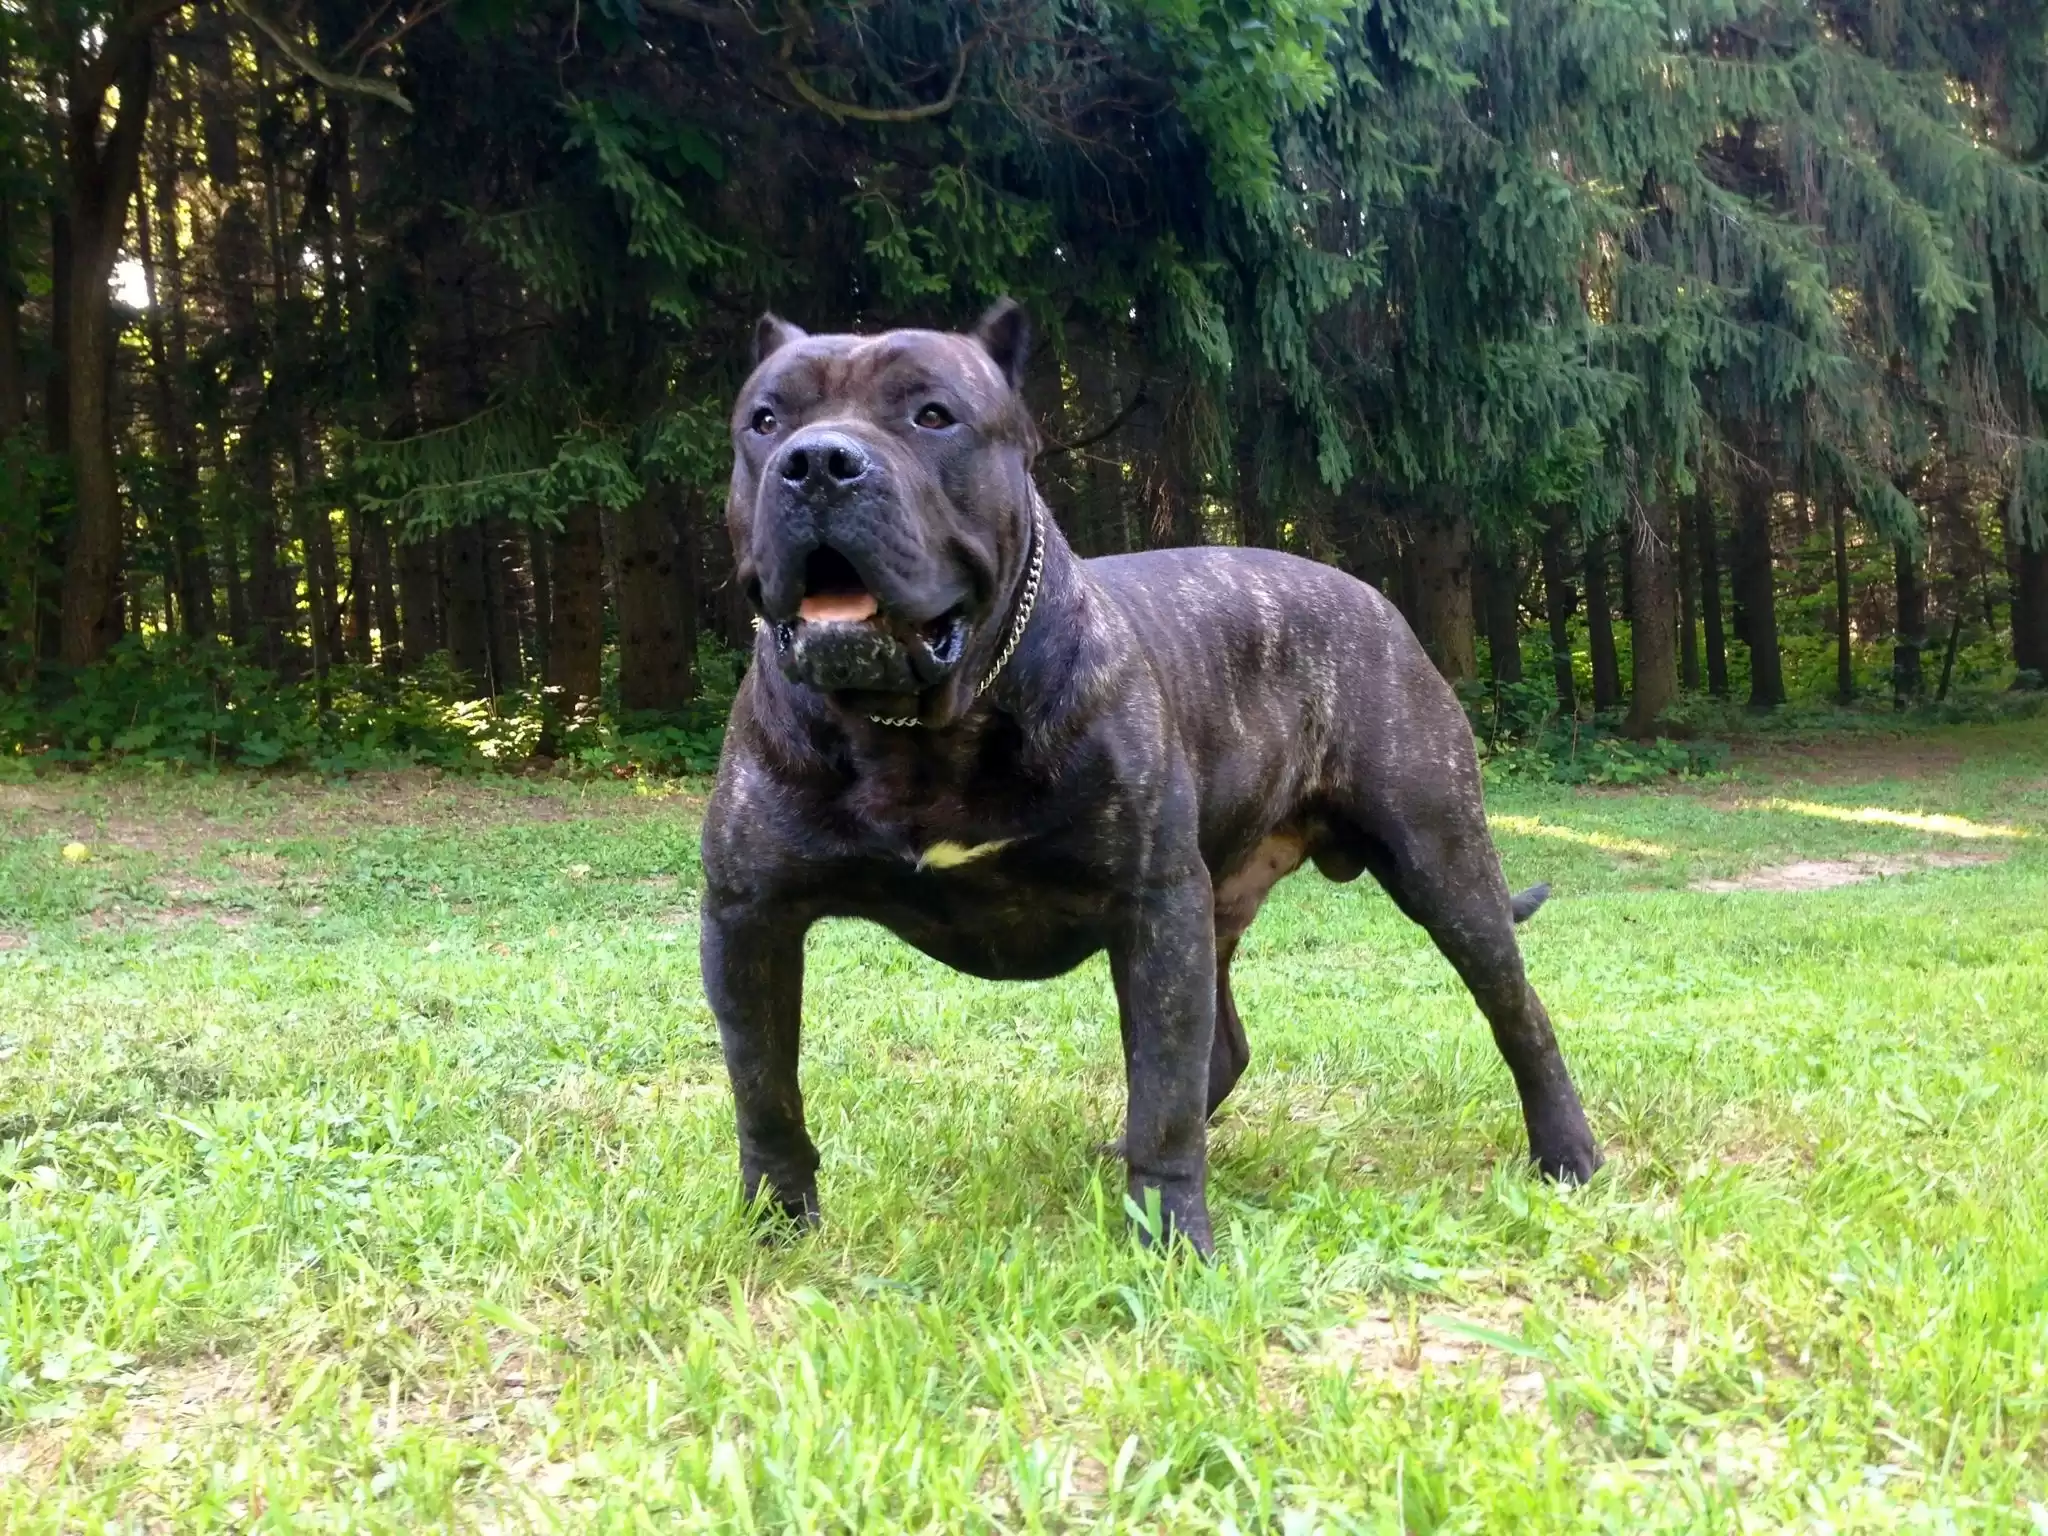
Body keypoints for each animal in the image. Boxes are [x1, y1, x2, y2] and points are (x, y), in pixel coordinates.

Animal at [700, 303, 1597, 1261]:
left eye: (932, 416)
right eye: (764, 421)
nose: (817, 462)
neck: (916, 728)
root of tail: (1378, 600)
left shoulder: (1153, 908)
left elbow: (1162, 1091)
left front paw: (1172, 1241)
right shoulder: (749, 916)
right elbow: (764, 1091)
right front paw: (776, 1220)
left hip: (1440, 865)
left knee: (1519, 1011)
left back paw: (1568, 1153)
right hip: (1220, 908)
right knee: (1223, 1049)